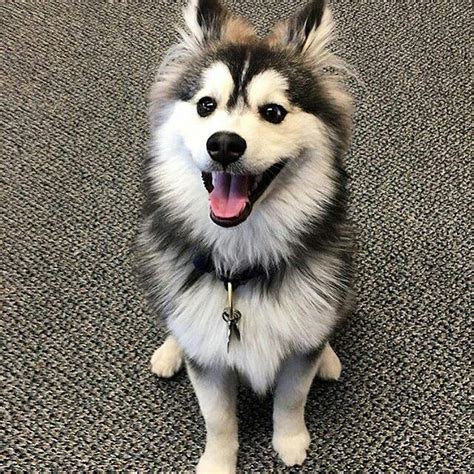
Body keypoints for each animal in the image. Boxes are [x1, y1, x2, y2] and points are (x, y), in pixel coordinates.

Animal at [139, 0, 354, 470]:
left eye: (273, 112)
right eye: (206, 105)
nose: (223, 144)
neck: (241, 259)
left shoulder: (298, 350)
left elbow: (291, 397)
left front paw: (290, 442)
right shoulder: (211, 362)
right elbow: (218, 419)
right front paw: (217, 463)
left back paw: (328, 357)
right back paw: (170, 349)